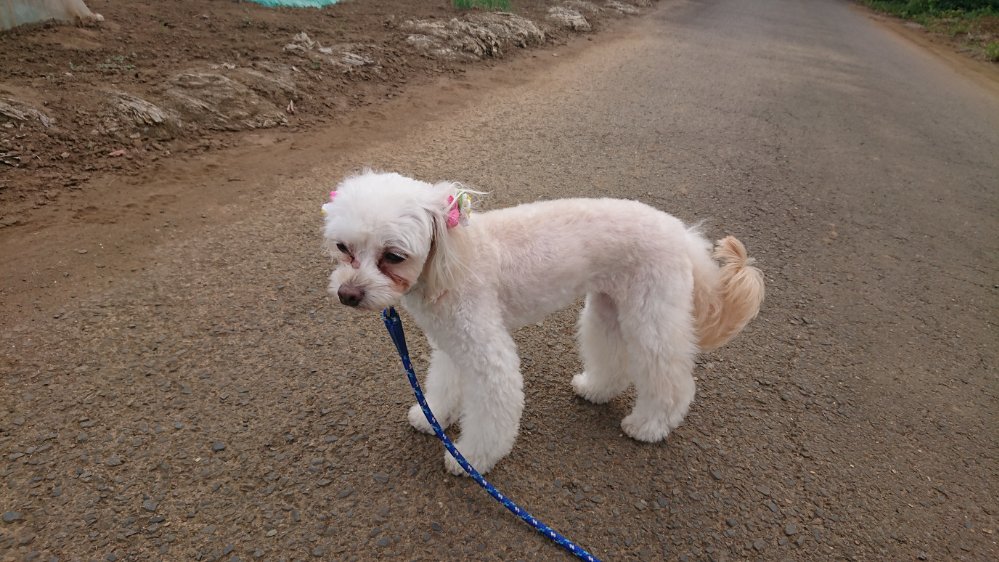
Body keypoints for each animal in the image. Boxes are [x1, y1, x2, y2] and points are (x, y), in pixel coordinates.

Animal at [321, 170, 764, 475]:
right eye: (343, 247)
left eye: (393, 256)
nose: (348, 294)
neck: (452, 258)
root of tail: (682, 233)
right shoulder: (453, 342)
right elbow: (445, 384)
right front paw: (433, 417)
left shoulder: (486, 351)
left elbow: (493, 411)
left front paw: (469, 458)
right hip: (607, 308)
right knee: (613, 357)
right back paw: (595, 389)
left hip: (650, 314)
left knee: (671, 380)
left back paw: (650, 425)